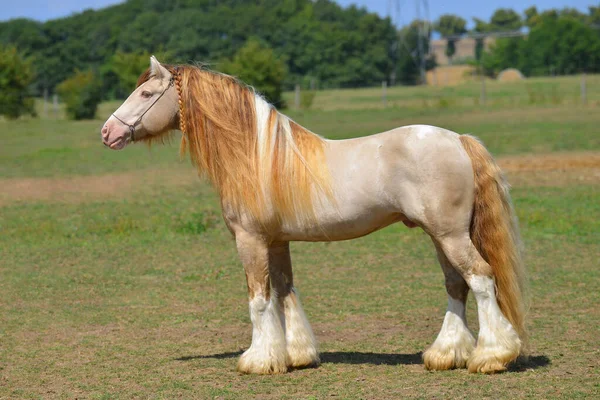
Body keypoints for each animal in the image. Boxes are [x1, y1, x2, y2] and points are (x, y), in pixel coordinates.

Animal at [101, 56, 528, 376]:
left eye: (145, 93)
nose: (107, 133)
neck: (256, 156)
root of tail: (458, 140)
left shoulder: (250, 240)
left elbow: (259, 299)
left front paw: (257, 360)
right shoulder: (277, 242)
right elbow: (284, 292)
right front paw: (295, 355)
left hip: (450, 235)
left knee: (481, 279)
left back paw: (491, 356)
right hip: (441, 235)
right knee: (457, 285)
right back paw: (445, 354)